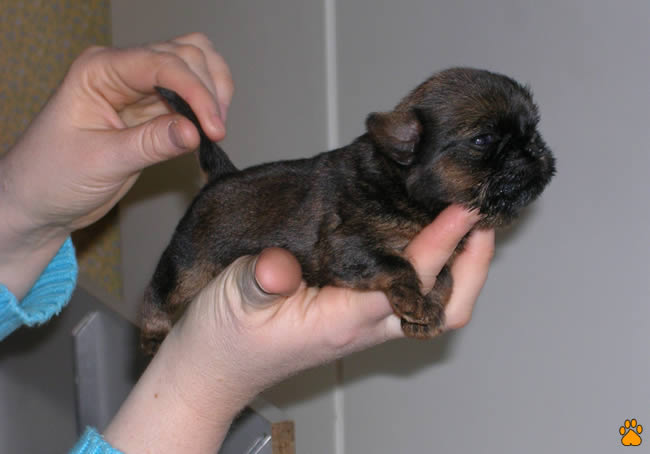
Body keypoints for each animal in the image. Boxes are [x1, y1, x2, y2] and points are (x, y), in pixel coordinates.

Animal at [140, 67, 555, 355]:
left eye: (533, 131)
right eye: (483, 140)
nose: (534, 148)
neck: (401, 184)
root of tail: (222, 176)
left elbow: (446, 280)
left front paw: (425, 312)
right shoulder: (347, 247)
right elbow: (398, 265)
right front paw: (413, 300)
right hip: (189, 259)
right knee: (159, 290)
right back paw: (152, 334)